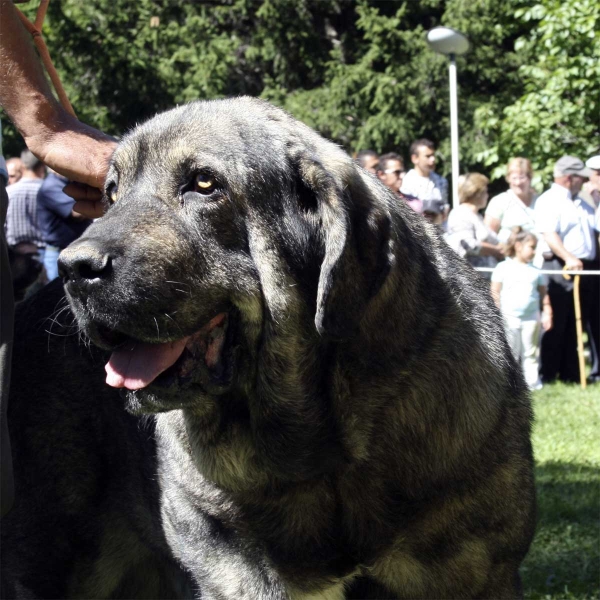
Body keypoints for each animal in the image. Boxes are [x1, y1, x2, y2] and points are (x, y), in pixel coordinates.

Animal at [2, 96, 536, 596]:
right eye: (112, 194)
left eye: (204, 184)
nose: (75, 267)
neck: (321, 446)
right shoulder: (235, 569)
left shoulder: (474, 569)